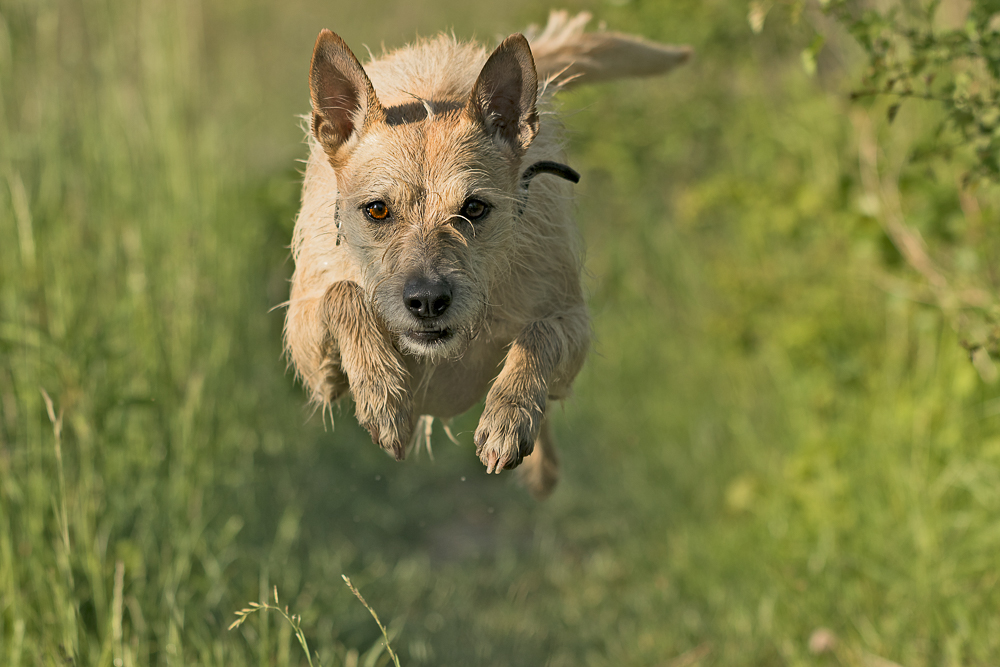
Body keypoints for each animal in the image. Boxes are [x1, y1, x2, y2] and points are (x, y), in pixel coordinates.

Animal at [282, 10, 688, 498]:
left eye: (474, 208)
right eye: (377, 209)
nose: (427, 301)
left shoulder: (572, 325)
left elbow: (540, 332)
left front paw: (508, 415)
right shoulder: (312, 357)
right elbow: (341, 293)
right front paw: (382, 393)